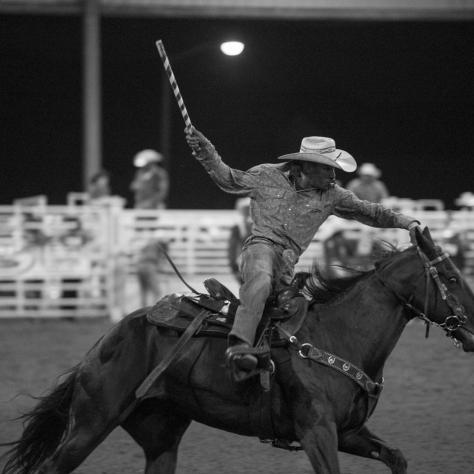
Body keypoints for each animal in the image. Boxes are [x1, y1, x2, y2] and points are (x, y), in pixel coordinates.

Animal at [0, 227, 474, 474]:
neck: (338, 335)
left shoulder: (349, 431)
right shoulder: (317, 431)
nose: (472, 327)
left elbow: (397, 458)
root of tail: (103, 343)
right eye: (451, 277)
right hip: (90, 423)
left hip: (160, 435)